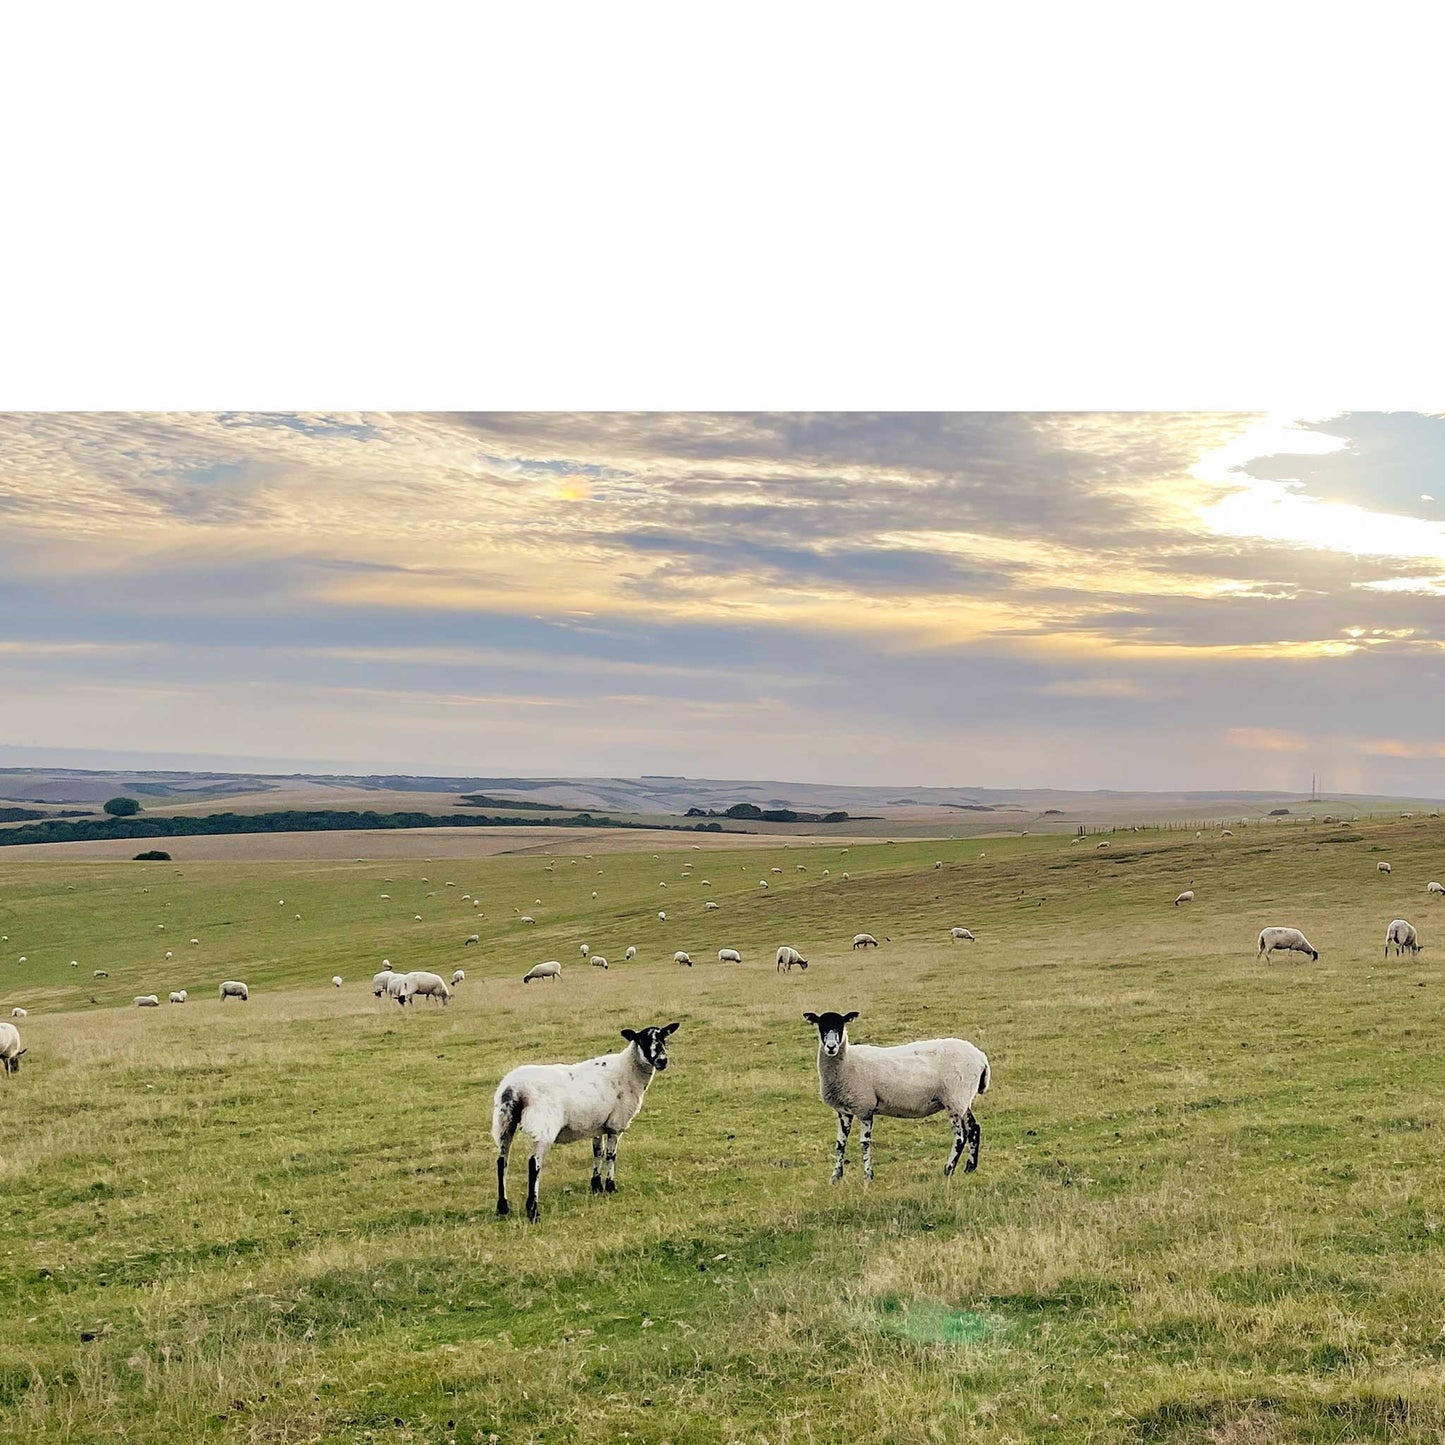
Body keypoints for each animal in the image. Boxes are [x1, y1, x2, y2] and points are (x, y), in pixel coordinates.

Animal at [494, 1017, 679, 1219]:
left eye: (664, 1038)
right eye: (642, 1040)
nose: (662, 1061)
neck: (628, 1071)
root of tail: (514, 1088)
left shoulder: (597, 1124)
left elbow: (598, 1152)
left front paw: (596, 1186)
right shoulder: (616, 1125)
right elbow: (611, 1156)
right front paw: (610, 1187)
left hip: (505, 1123)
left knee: (502, 1162)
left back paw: (502, 1208)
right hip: (542, 1126)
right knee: (533, 1164)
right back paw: (533, 1210)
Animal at [803, 1011, 994, 1179]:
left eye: (841, 1024)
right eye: (821, 1025)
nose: (831, 1047)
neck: (848, 1061)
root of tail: (981, 1057)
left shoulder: (865, 1107)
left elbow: (865, 1143)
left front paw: (868, 1176)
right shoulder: (844, 1111)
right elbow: (840, 1144)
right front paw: (836, 1177)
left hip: (955, 1098)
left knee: (960, 1136)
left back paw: (948, 1169)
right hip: (962, 1100)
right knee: (974, 1128)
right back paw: (969, 1168)